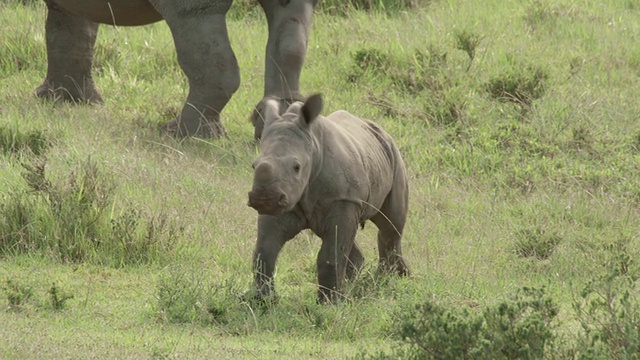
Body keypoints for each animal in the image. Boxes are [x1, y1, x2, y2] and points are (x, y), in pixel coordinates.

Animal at [34, 0, 316, 138]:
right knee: (291, 22)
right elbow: (72, 27)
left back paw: (180, 134)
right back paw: (277, 126)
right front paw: (64, 100)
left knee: (195, 16)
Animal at [248, 94, 408, 302]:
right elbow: (264, 251)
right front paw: (263, 300)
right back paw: (355, 284)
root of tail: (382, 132)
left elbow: (330, 255)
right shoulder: (284, 202)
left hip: (394, 157)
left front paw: (329, 303)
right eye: (254, 166)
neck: (312, 148)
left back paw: (387, 280)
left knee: (390, 226)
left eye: (297, 167)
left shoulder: (344, 199)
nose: (264, 199)